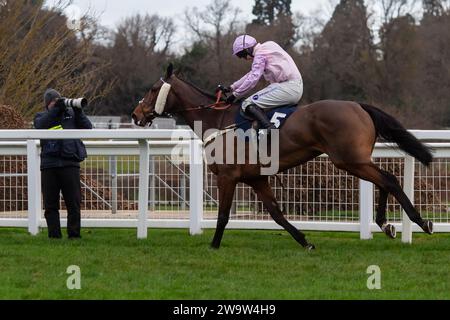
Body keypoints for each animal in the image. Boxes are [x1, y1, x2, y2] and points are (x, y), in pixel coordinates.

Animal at [132, 63, 434, 250]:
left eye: (152, 89)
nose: (136, 115)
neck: (217, 120)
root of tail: (358, 105)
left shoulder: (228, 177)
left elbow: (223, 215)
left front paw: (213, 245)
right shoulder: (256, 179)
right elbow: (276, 213)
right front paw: (306, 241)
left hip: (349, 160)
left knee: (389, 180)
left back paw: (421, 222)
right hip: (355, 160)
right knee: (385, 180)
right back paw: (386, 224)